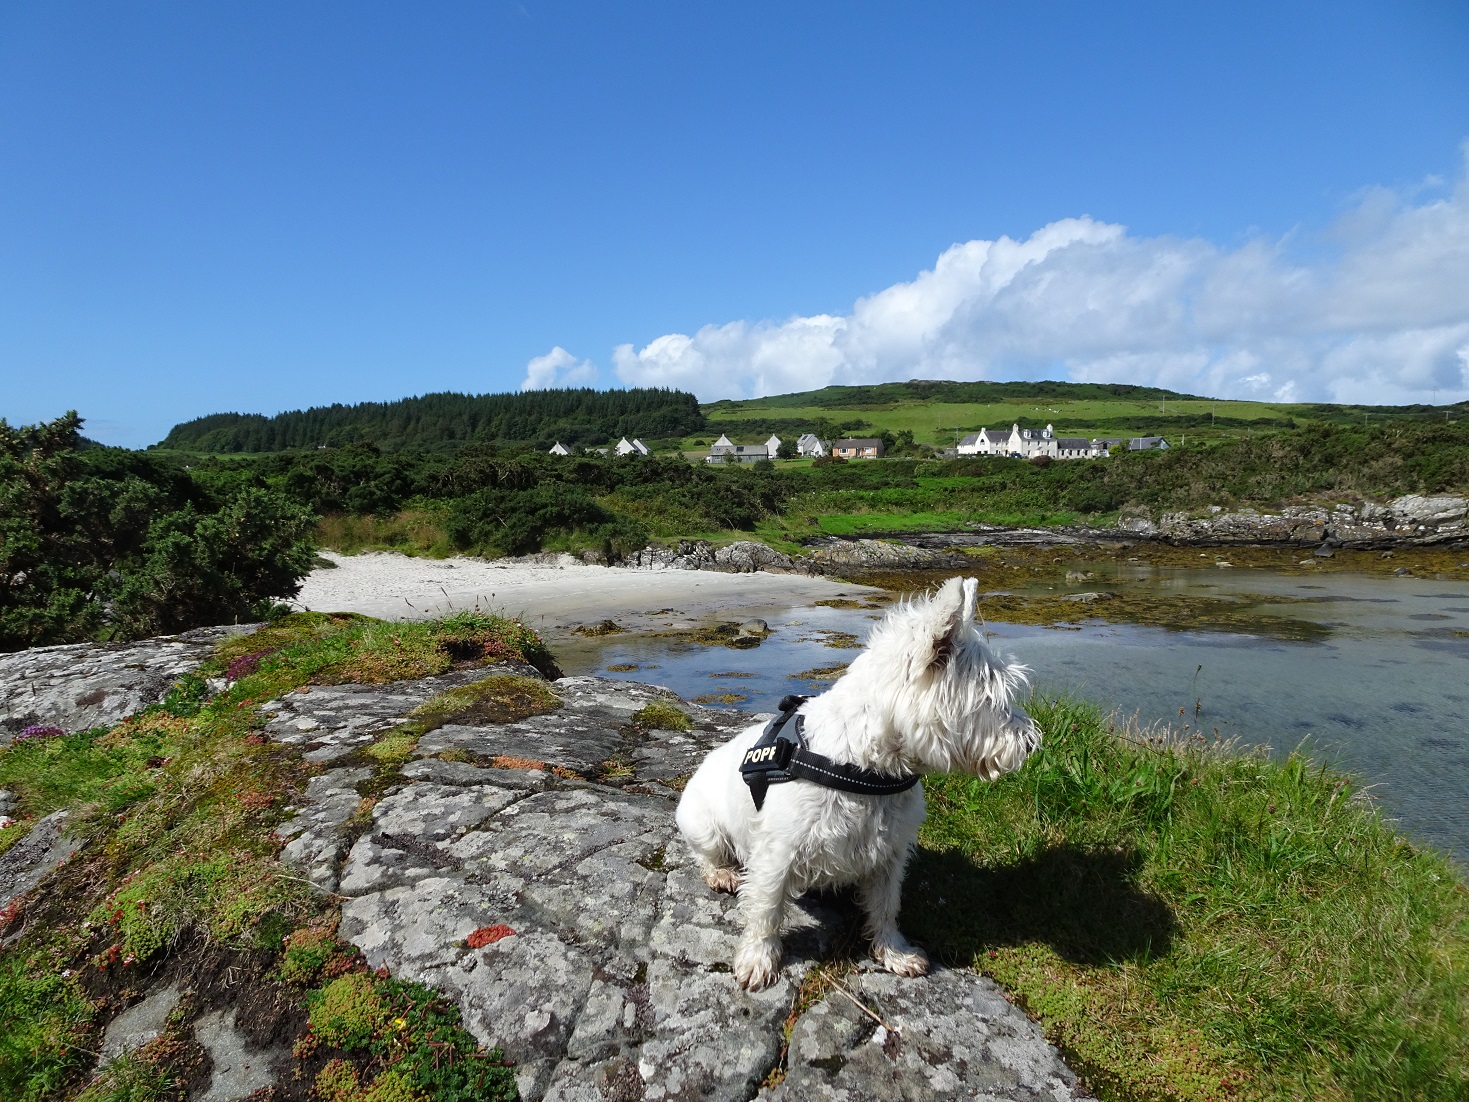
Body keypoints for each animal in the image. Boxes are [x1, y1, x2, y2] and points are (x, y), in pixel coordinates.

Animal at [675, 578, 1045, 993]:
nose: (1032, 743)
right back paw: (721, 873)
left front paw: (895, 953)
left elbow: (885, 906)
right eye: (992, 699)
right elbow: (766, 908)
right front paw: (758, 959)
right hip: (703, 825)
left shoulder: (890, 853)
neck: (871, 767)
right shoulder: (777, 852)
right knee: (706, 854)